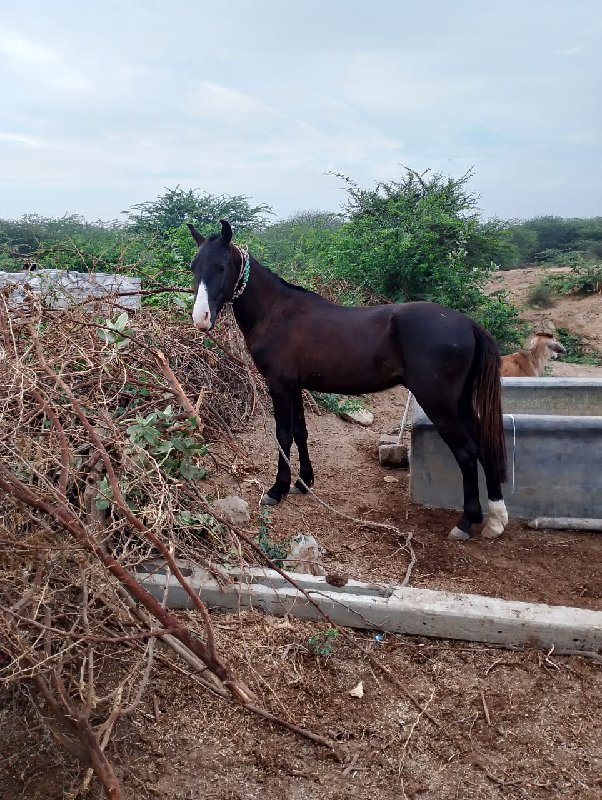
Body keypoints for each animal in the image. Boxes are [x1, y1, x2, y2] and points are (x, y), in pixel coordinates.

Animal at [188, 222, 506, 540]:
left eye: (221, 266)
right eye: (194, 266)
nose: (201, 318)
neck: (275, 311)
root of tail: (468, 324)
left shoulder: (279, 386)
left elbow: (283, 435)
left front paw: (277, 489)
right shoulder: (295, 386)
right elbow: (300, 432)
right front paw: (303, 482)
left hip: (439, 404)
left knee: (466, 452)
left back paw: (467, 521)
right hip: (460, 403)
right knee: (482, 445)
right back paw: (496, 518)